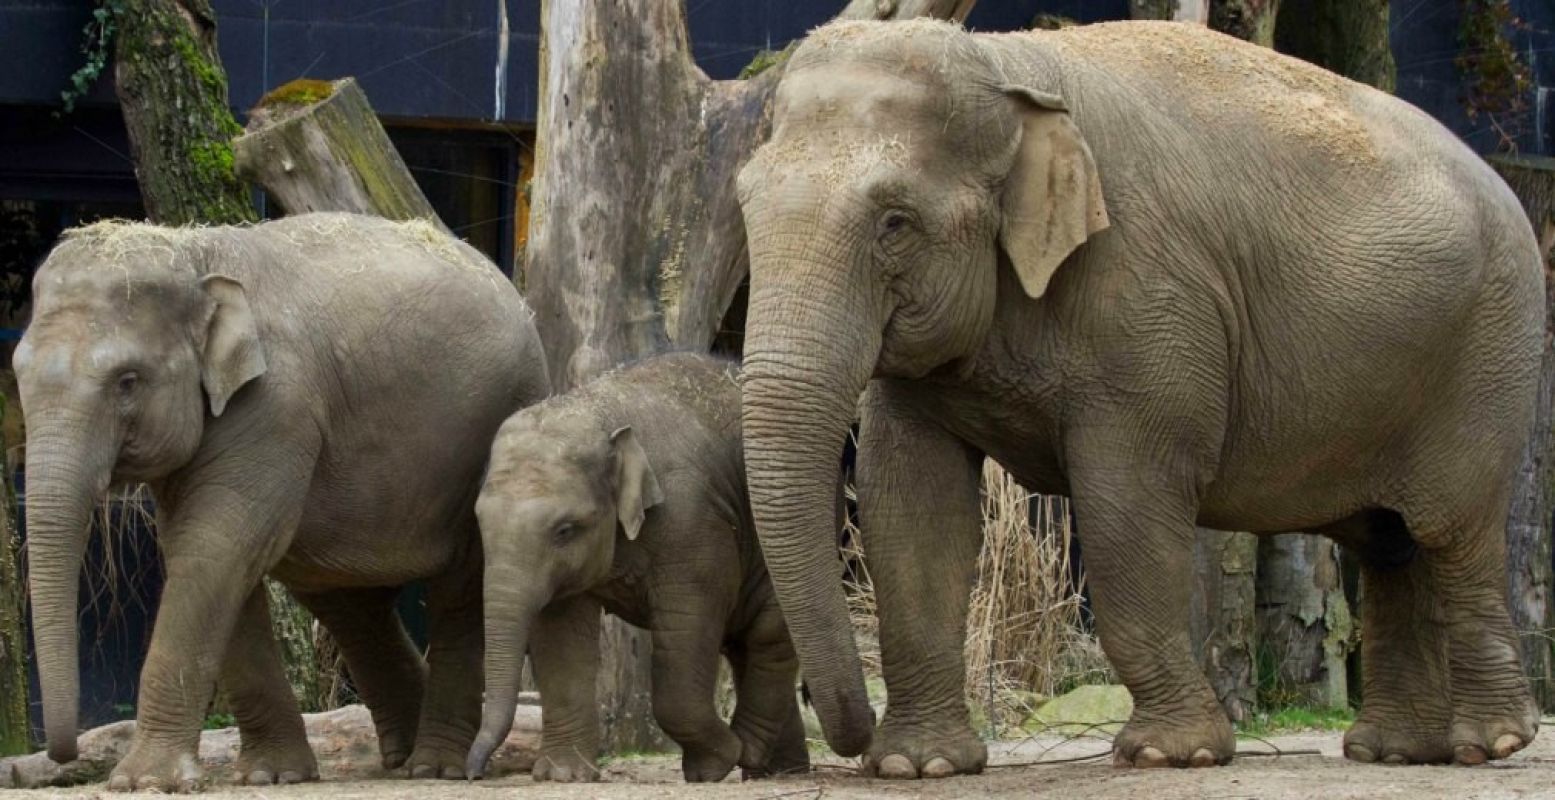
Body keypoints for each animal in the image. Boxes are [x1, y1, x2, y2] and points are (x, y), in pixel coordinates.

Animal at [16, 208, 553, 787]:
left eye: (127, 381)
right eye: (17, 374)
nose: (62, 754)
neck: (193, 253)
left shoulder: (275, 406)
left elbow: (216, 550)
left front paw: (144, 781)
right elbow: (204, 556)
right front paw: (271, 777)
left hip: (500, 423)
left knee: (458, 589)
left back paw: (435, 766)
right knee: (347, 602)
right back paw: (402, 759)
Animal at [463, 353, 808, 778]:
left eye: (564, 530)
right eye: (479, 521)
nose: (474, 772)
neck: (599, 412)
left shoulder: (691, 519)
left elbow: (689, 621)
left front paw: (715, 763)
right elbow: (560, 635)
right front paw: (565, 774)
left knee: (770, 632)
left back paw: (750, 753)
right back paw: (775, 770)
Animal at [733, 20, 1548, 778]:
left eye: (895, 222)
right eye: (742, 204)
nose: (848, 736)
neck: (1007, 62)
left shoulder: (1149, 295)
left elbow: (1127, 499)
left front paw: (1169, 754)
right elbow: (910, 502)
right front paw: (918, 765)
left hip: (1490, 353)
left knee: (1452, 531)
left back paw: (1489, 743)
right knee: (1389, 543)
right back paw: (1393, 752)